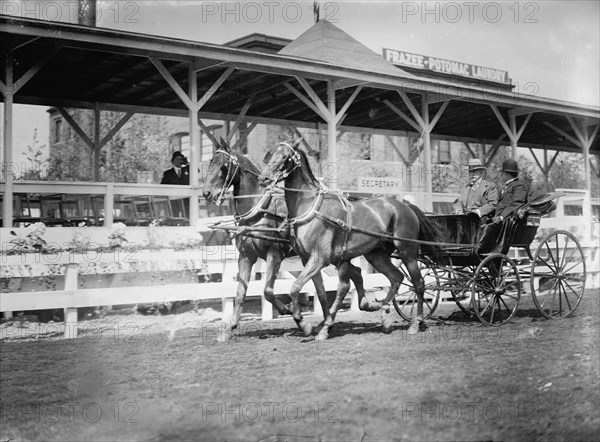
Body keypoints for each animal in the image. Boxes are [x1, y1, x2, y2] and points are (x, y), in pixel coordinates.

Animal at [204, 140, 368, 340]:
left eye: (223, 165)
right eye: (210, 162)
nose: (206, 193)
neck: (258, 209)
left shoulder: (273, 254)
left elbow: (267, 291)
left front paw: (291, 313)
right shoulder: (246, 257)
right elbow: (240, 294)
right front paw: (229, 329)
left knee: (347, 280)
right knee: (355, 273)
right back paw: (361, 306)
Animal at [258, 140, 446, 340]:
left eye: (285, 157)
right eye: (270, 154)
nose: (264, 179)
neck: (310, 207)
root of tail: (406, 206)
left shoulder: (319, 258)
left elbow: (295, 287)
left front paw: (304, 323)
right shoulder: (307, 258)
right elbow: (321, 292)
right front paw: (323, 324)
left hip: (407, 252)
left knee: (418, 283)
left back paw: (415, 323)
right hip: (376, 255)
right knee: (396, 277)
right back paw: (385, 314)